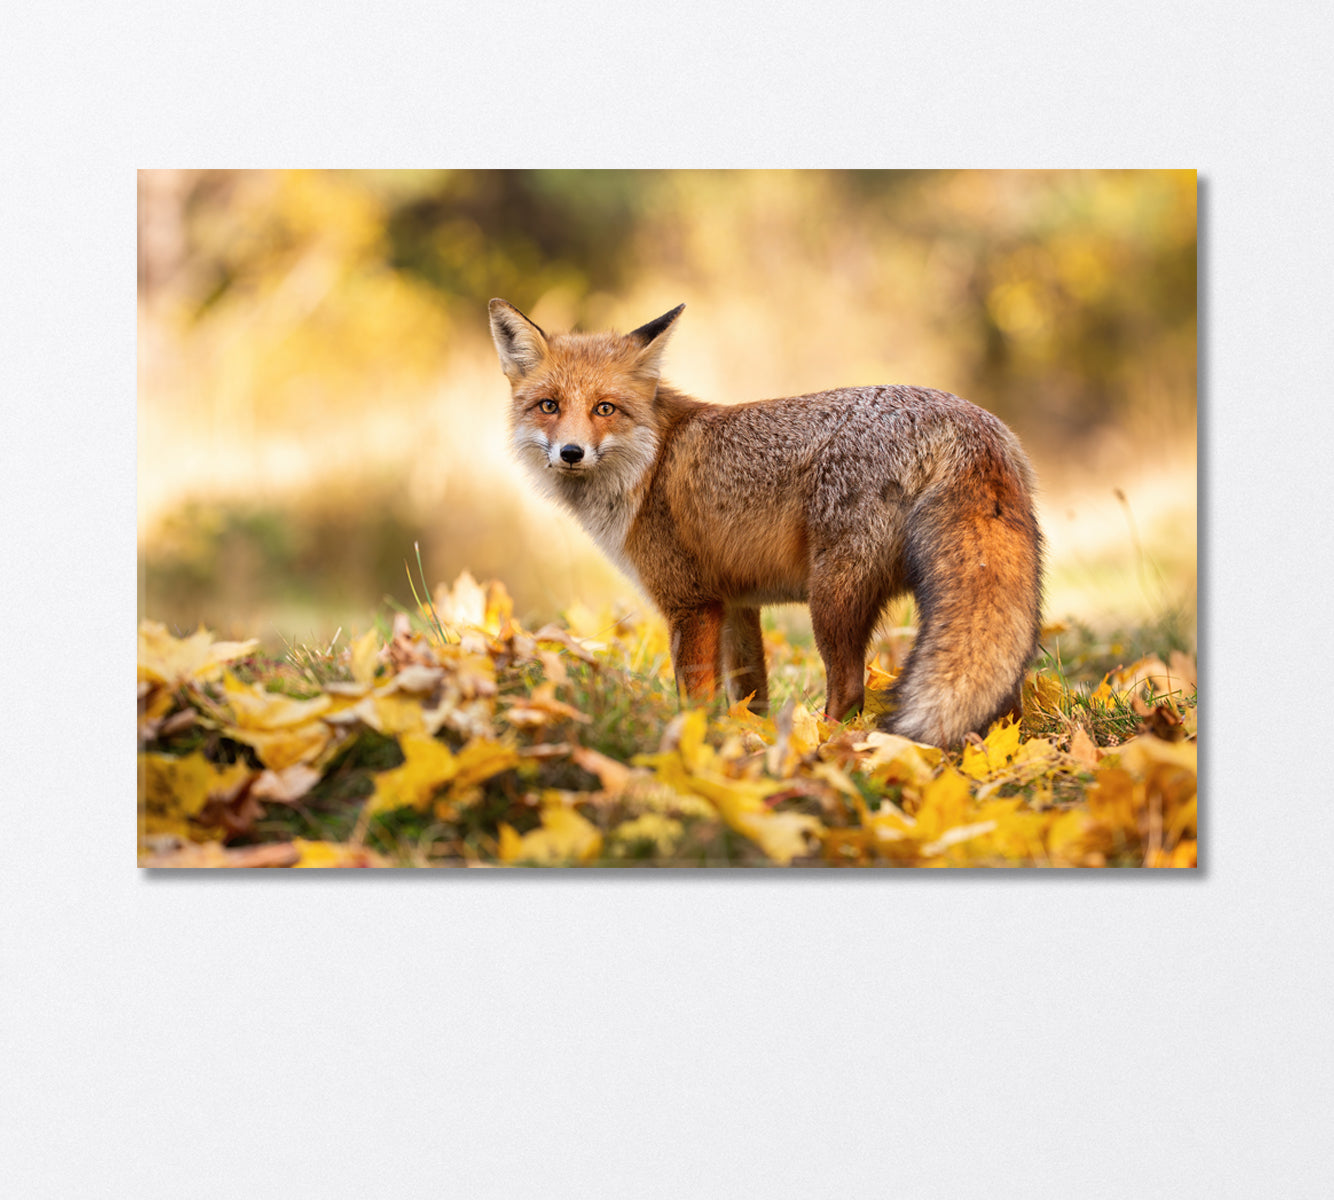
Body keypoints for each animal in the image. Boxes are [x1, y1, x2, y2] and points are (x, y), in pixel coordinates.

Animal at [490, 300, 1040, 746]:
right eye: (549, 406)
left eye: (604, 408)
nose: (571, 453)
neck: (650, 465)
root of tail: (968, 422)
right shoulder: (735, 604)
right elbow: (750, 693)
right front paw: (747, 739)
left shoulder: (691, 604)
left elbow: (695, 697)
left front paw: (698, 744)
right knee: (1004, 693)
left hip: (832, 599)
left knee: (849, 688)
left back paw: (821, 746)